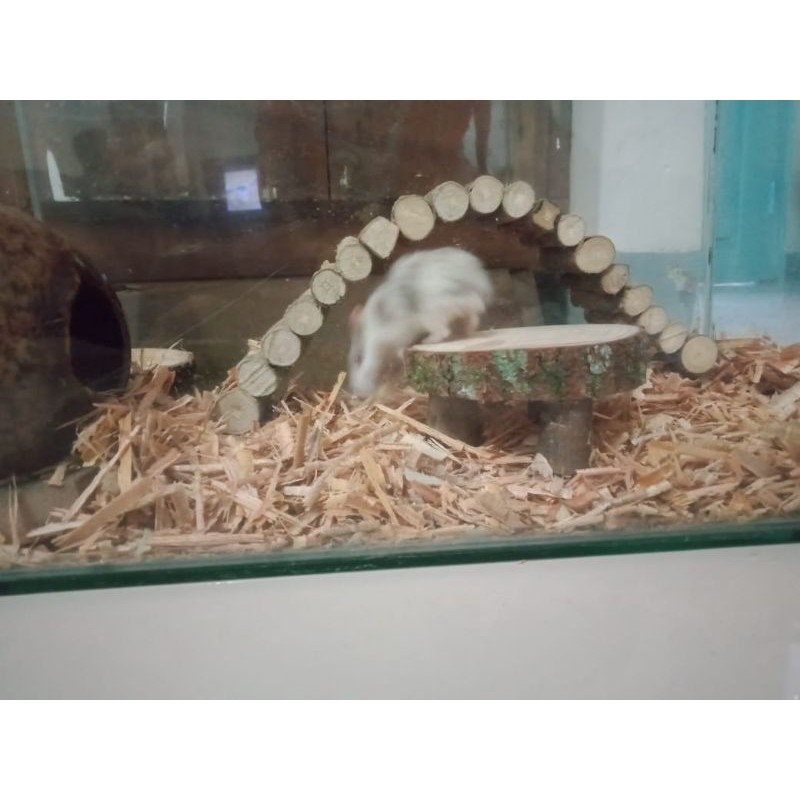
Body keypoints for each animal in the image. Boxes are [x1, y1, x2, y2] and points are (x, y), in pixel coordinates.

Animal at [347, 246, 493, 397]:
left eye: (359, 358)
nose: (358, 392)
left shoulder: (397, 337)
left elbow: (400, 350)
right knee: (472, 318)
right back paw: (466, 333)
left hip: (431, 317)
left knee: (443, 331)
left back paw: (426, 341)